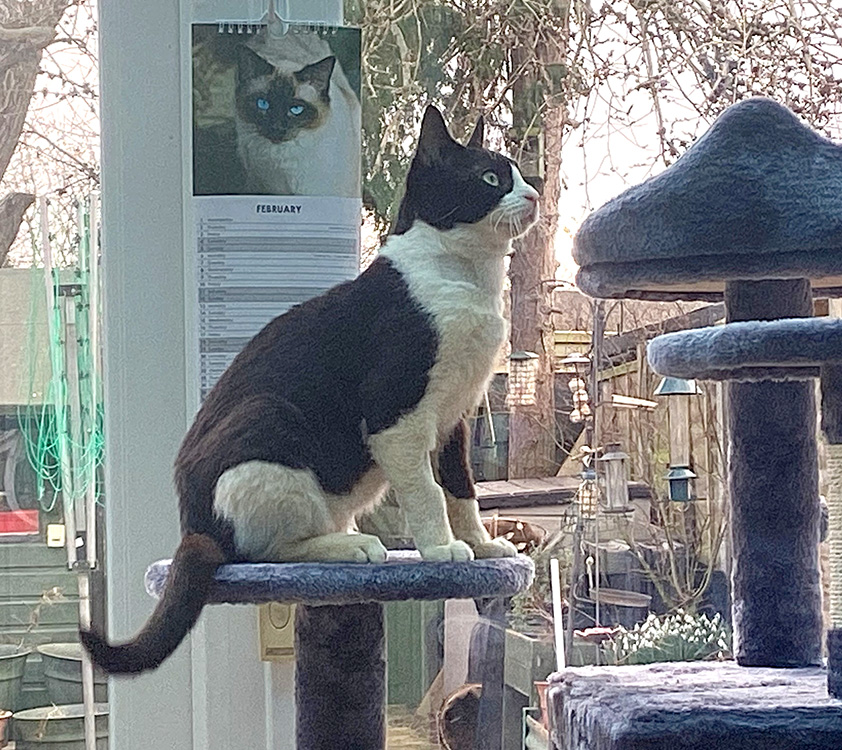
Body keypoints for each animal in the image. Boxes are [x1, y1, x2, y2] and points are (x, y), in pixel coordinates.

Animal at [80, 106, 540, 676]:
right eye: (491, 179)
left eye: (517, 174)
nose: (535, 195)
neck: (466, 280)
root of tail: (193, 524)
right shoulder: (395, 412)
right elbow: (429, 492)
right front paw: (443, 552)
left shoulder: (457, 413)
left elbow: (462, 488)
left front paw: (480, 545)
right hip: (269, 417)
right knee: (260, 551)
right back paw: (355, 548)